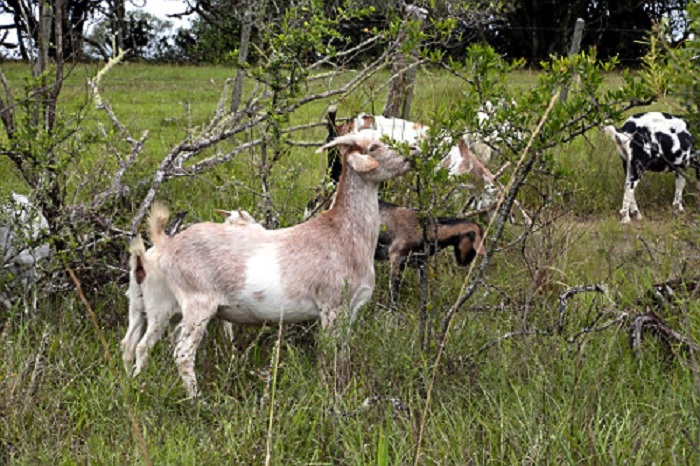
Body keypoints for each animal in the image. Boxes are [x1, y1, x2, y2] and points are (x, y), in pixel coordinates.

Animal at [124, 130, 413, 397]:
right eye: (373, 147)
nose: (411, 155)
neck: (343, 234)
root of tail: (164, 244)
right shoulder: (332, 306)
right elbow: (330, 354)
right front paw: (330, 394)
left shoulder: (349, 310)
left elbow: (342, 352)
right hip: (196, 303)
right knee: (181, 352)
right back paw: (196, 400)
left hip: (157, 305)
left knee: (135, 344)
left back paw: (135, 385)